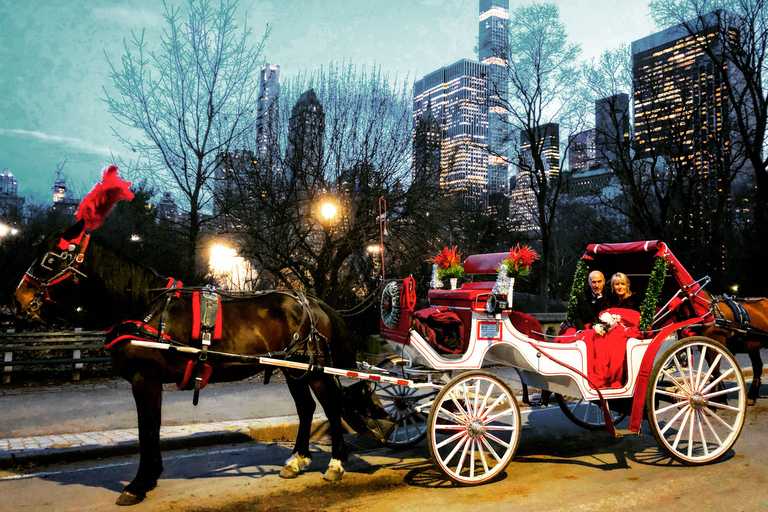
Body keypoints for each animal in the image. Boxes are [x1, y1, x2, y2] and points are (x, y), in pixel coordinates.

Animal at [13, 219, 358, 504]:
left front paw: (138, 484)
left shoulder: (145, 379)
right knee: (307, 408)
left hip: (314, 371)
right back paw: (297, 460)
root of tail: (309, 300)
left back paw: (336, 463)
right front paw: (150, 477)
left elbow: (146, 430)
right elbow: (152, 427)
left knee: (331, 407)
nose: (19, 297)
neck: (144, 309)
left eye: (51, 258)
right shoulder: (151, 382)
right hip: (292, 370)